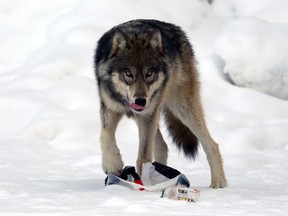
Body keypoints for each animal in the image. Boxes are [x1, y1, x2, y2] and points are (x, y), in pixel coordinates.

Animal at [94, 19, 227, 188]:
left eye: (149, 74)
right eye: (129, 74)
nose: (140, 100)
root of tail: (176, 28)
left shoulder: (147, 114)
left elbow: (143, 156)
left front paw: (143, 182)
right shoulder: (109, 107)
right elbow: (105, 135)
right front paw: (112, 165)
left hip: (181, 108)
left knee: (211, 145)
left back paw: (218, 183)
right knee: (163, 146)